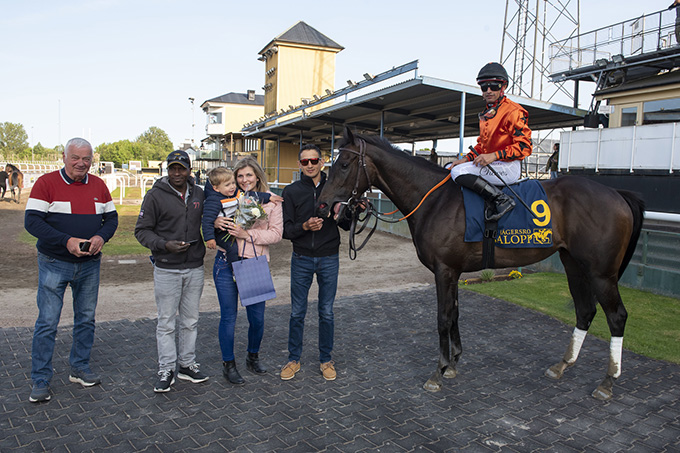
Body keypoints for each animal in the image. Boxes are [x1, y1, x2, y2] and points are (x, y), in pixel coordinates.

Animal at [316, 128, 644, 400]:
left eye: (343, 164)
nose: (322, 203)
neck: (435, 200)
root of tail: (616, 193)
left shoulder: (444, 270)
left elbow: (443, 318)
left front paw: (438, 371)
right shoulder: (454, 271)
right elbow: (455, 314)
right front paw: (453, 364)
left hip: (601, 272)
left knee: (617, 316)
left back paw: (607, 381)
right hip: (573, 264)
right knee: (585, 311)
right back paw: (563, 364)